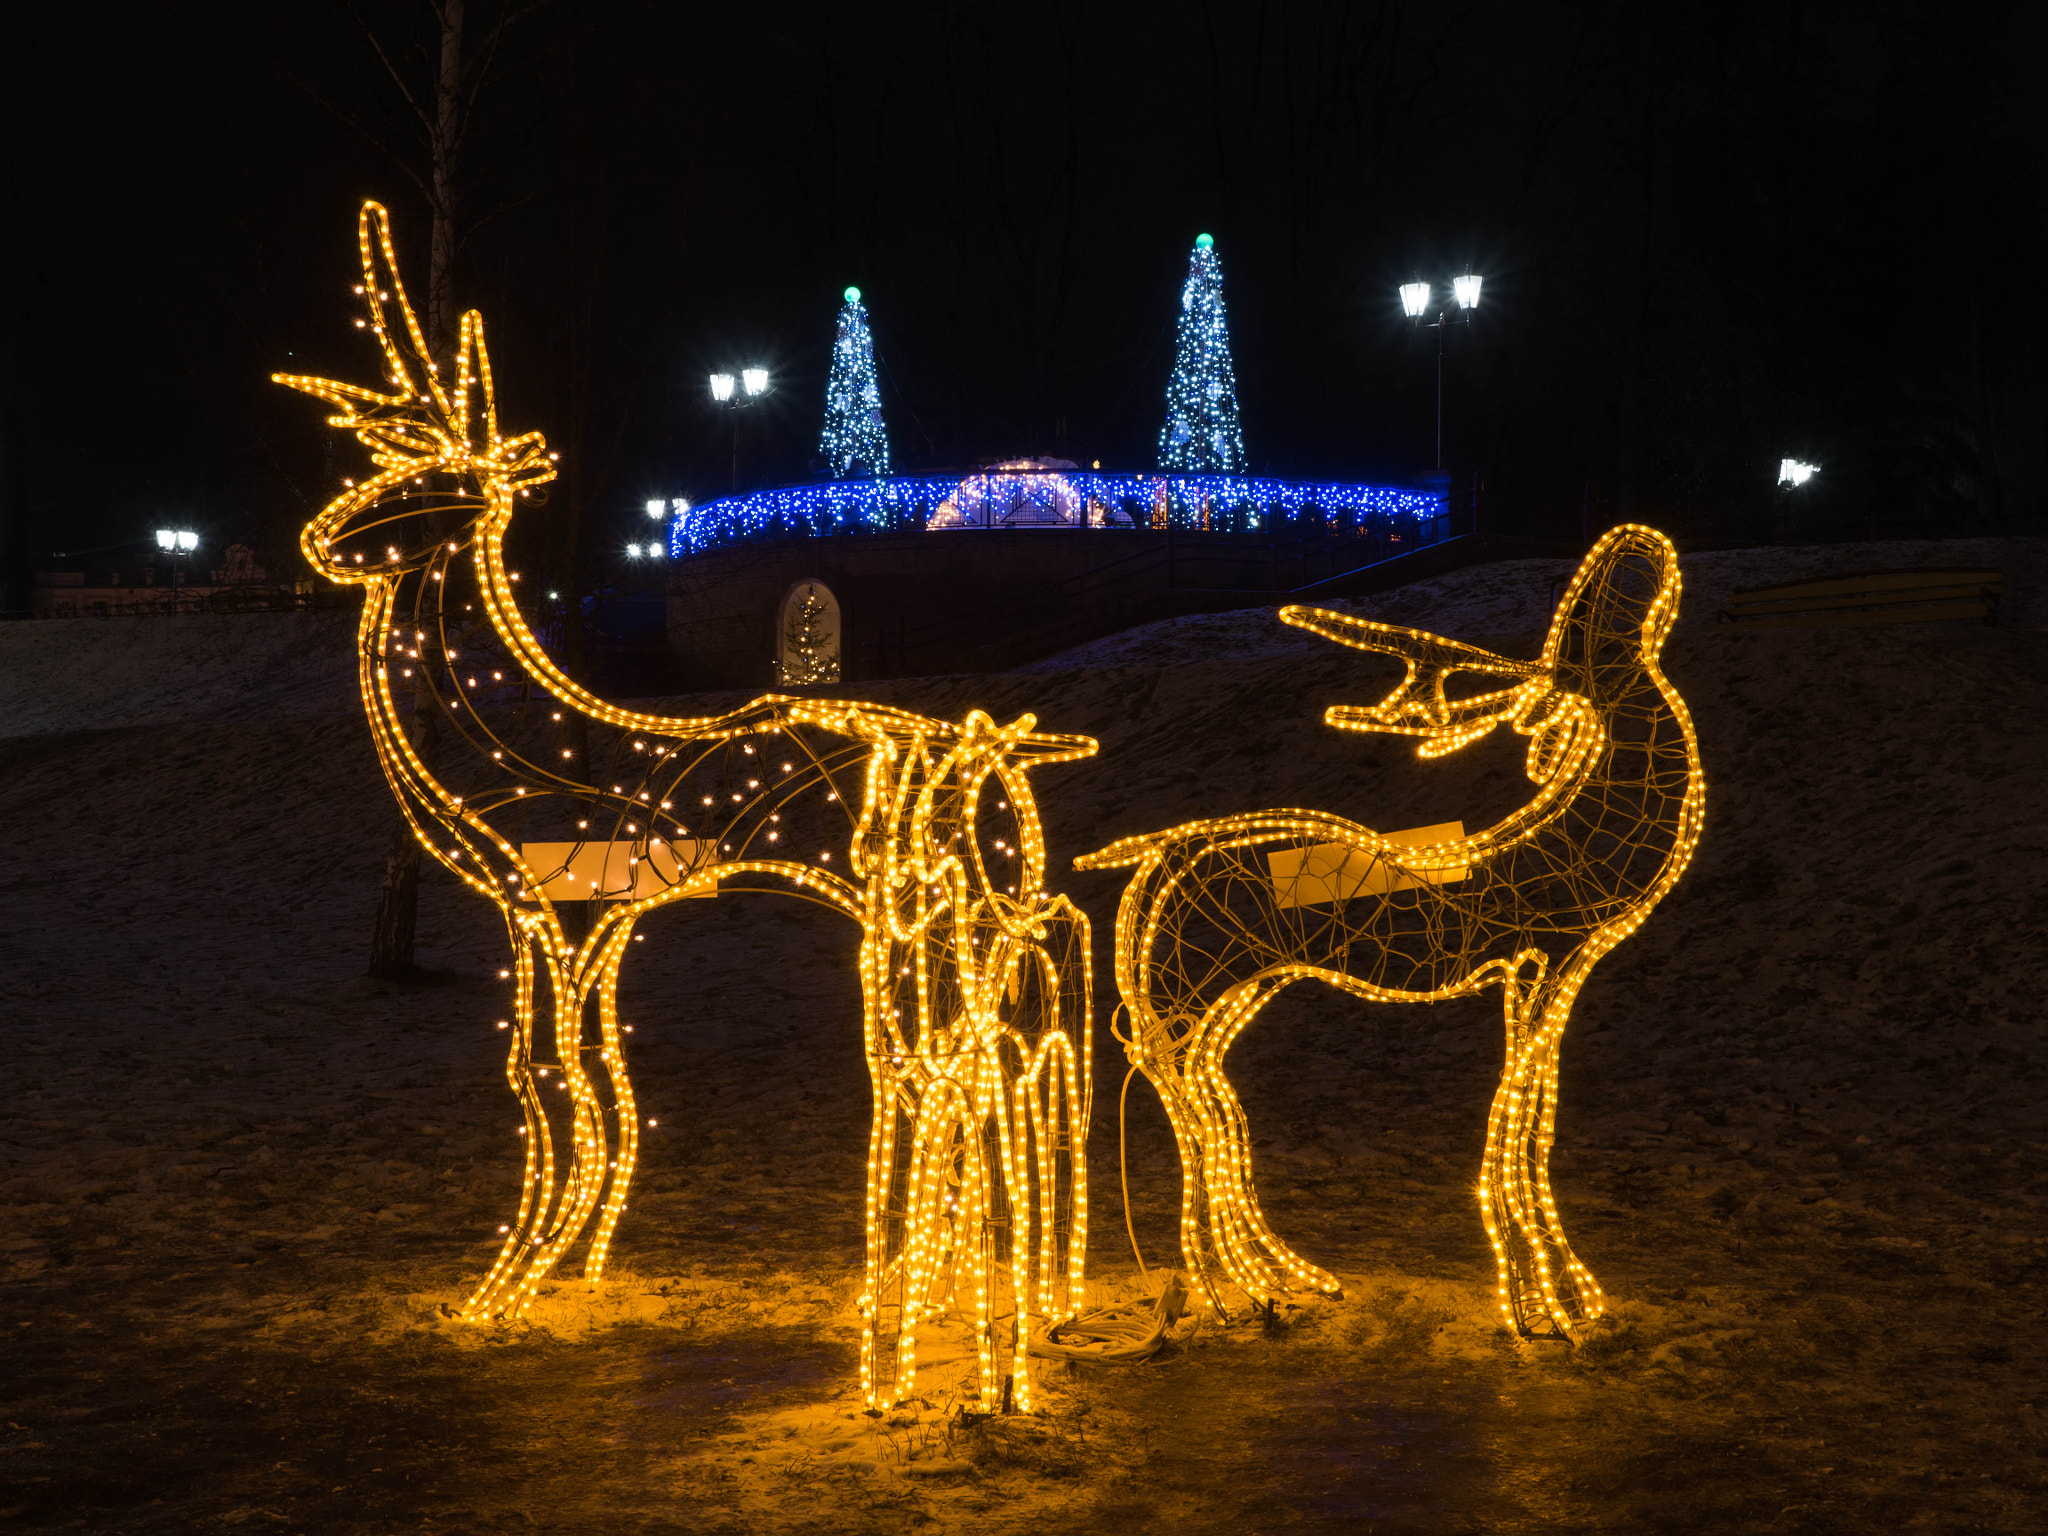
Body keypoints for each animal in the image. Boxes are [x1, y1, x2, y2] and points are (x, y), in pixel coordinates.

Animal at [280, 207, 1097, 1417]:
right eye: (392, 465)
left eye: (443, 480)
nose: (322, 543)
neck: (514, 730)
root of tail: (999, 747)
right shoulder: (605, 918)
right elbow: (605, 1087)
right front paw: (572, 1263)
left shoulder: (548, 906)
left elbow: (549, 1082)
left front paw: (504, 1285)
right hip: (991, 899)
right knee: (1024, 1021)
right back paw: (1010, 1314)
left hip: (927, 912)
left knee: (959, 1065)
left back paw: (945, 1351)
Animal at [1081, 528, 1703, 1335]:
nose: (1638, 563)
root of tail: (1161, 861)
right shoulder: (1546, 959)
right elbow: (1522, 1119)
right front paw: (1560, 1306)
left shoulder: (1540, 971)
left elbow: (1526, 1112)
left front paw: (1542, 1300)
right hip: (1192, 992)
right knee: (1188, 1099)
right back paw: (1239, 1292)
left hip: (1229, 995)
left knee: (1205, 1096)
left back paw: (1279, 1282)